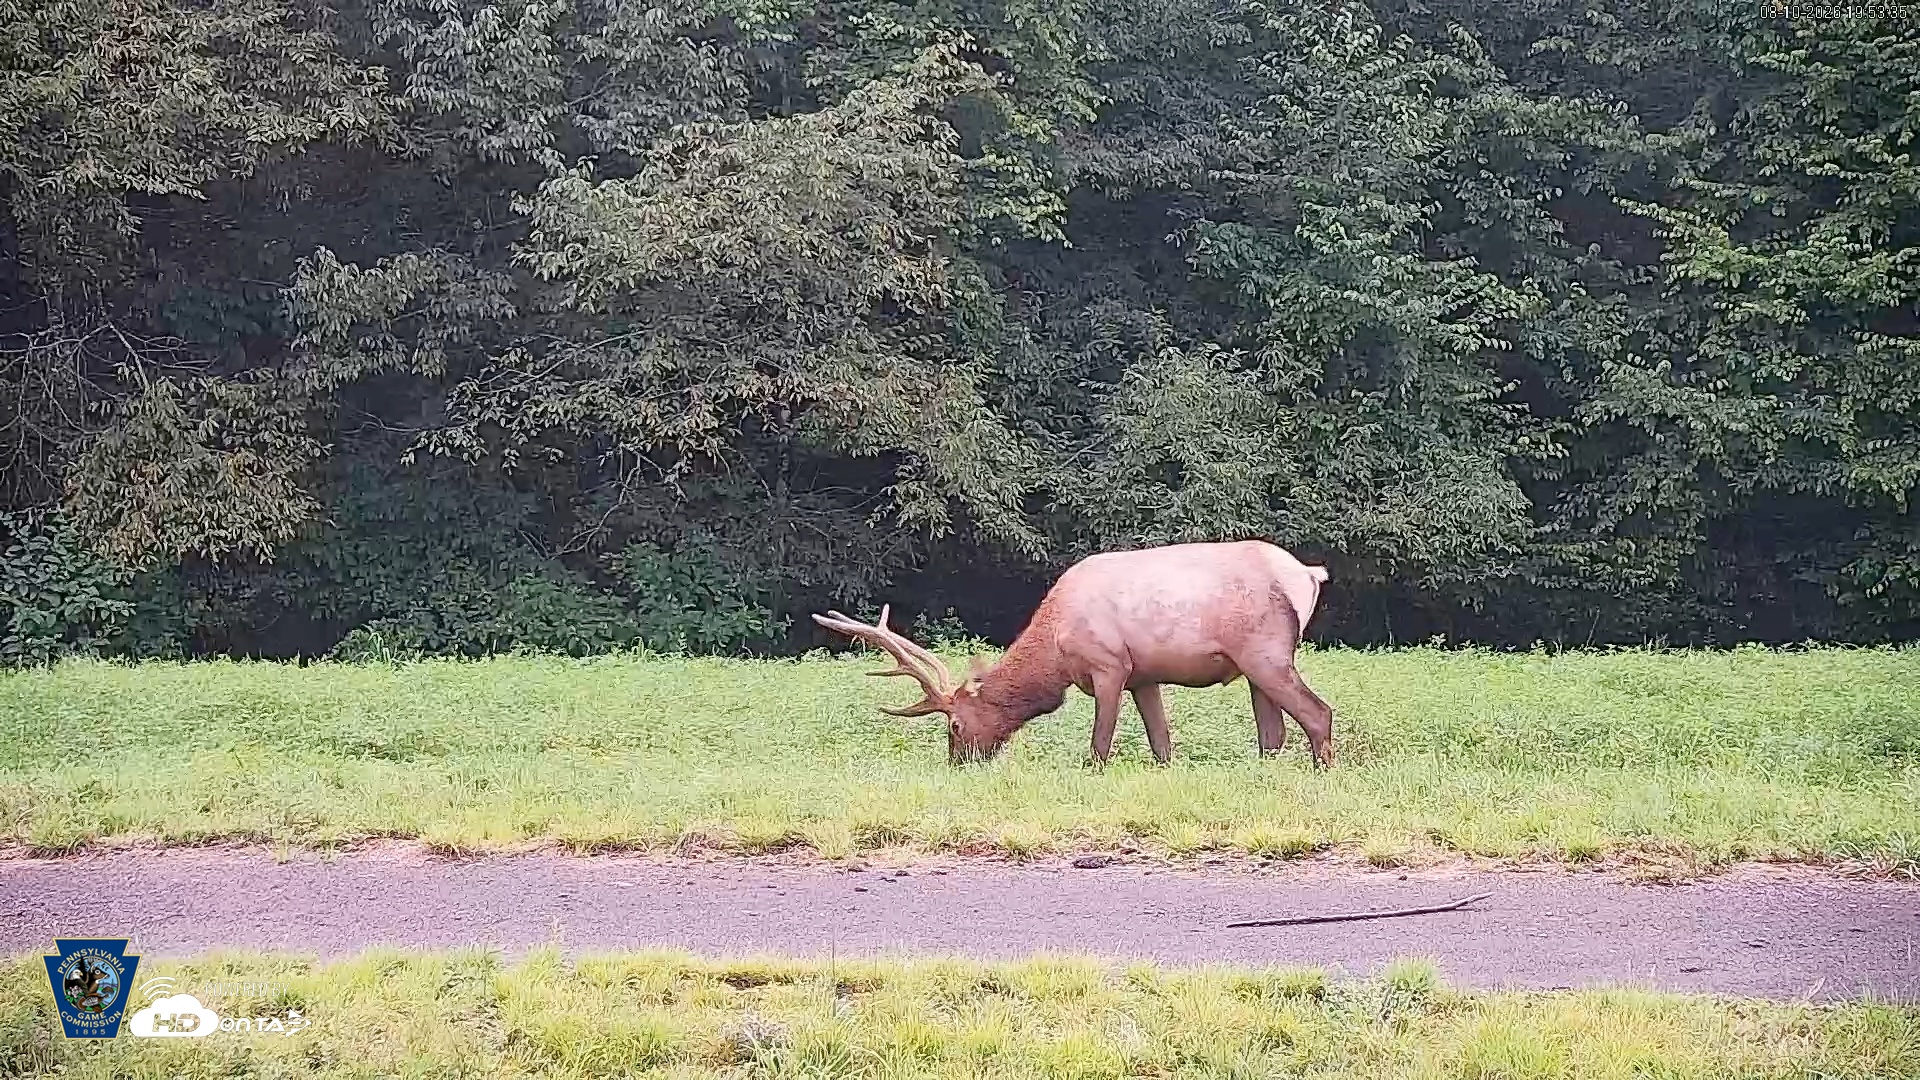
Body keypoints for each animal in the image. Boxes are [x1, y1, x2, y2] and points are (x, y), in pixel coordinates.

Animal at [813, 540, 1336, 768]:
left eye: (956, 726)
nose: (958, 763)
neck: (1056, 651)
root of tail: (1309, 575)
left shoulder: (1109, 665)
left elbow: (1099, 745)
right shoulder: (1143, 674)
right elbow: (1162, 743)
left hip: (1266, 650)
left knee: (1318, 713)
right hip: (1253, 666)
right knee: (1272, 734)